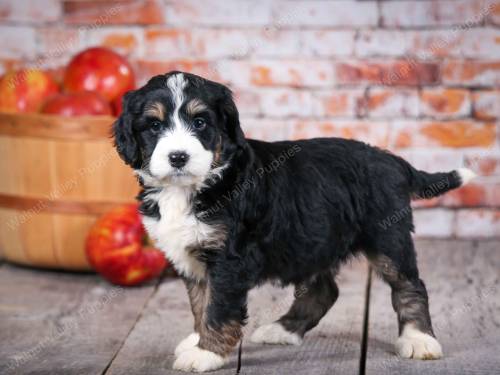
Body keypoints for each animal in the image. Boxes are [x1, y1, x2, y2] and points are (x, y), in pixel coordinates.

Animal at [113, 71, 476, 374]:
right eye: (154, 126)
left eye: (200, 122)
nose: (178, 157)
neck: (199, 184)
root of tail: (395, 161)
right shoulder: (192, 255)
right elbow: (201, 302)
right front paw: (197, 340)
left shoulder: (228, 259)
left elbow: (218, 306)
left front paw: (206, 353)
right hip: (315, 240)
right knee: (324, 290)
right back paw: (281, 329)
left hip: (388, 236)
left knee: (409, 284)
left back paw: (420, 340)